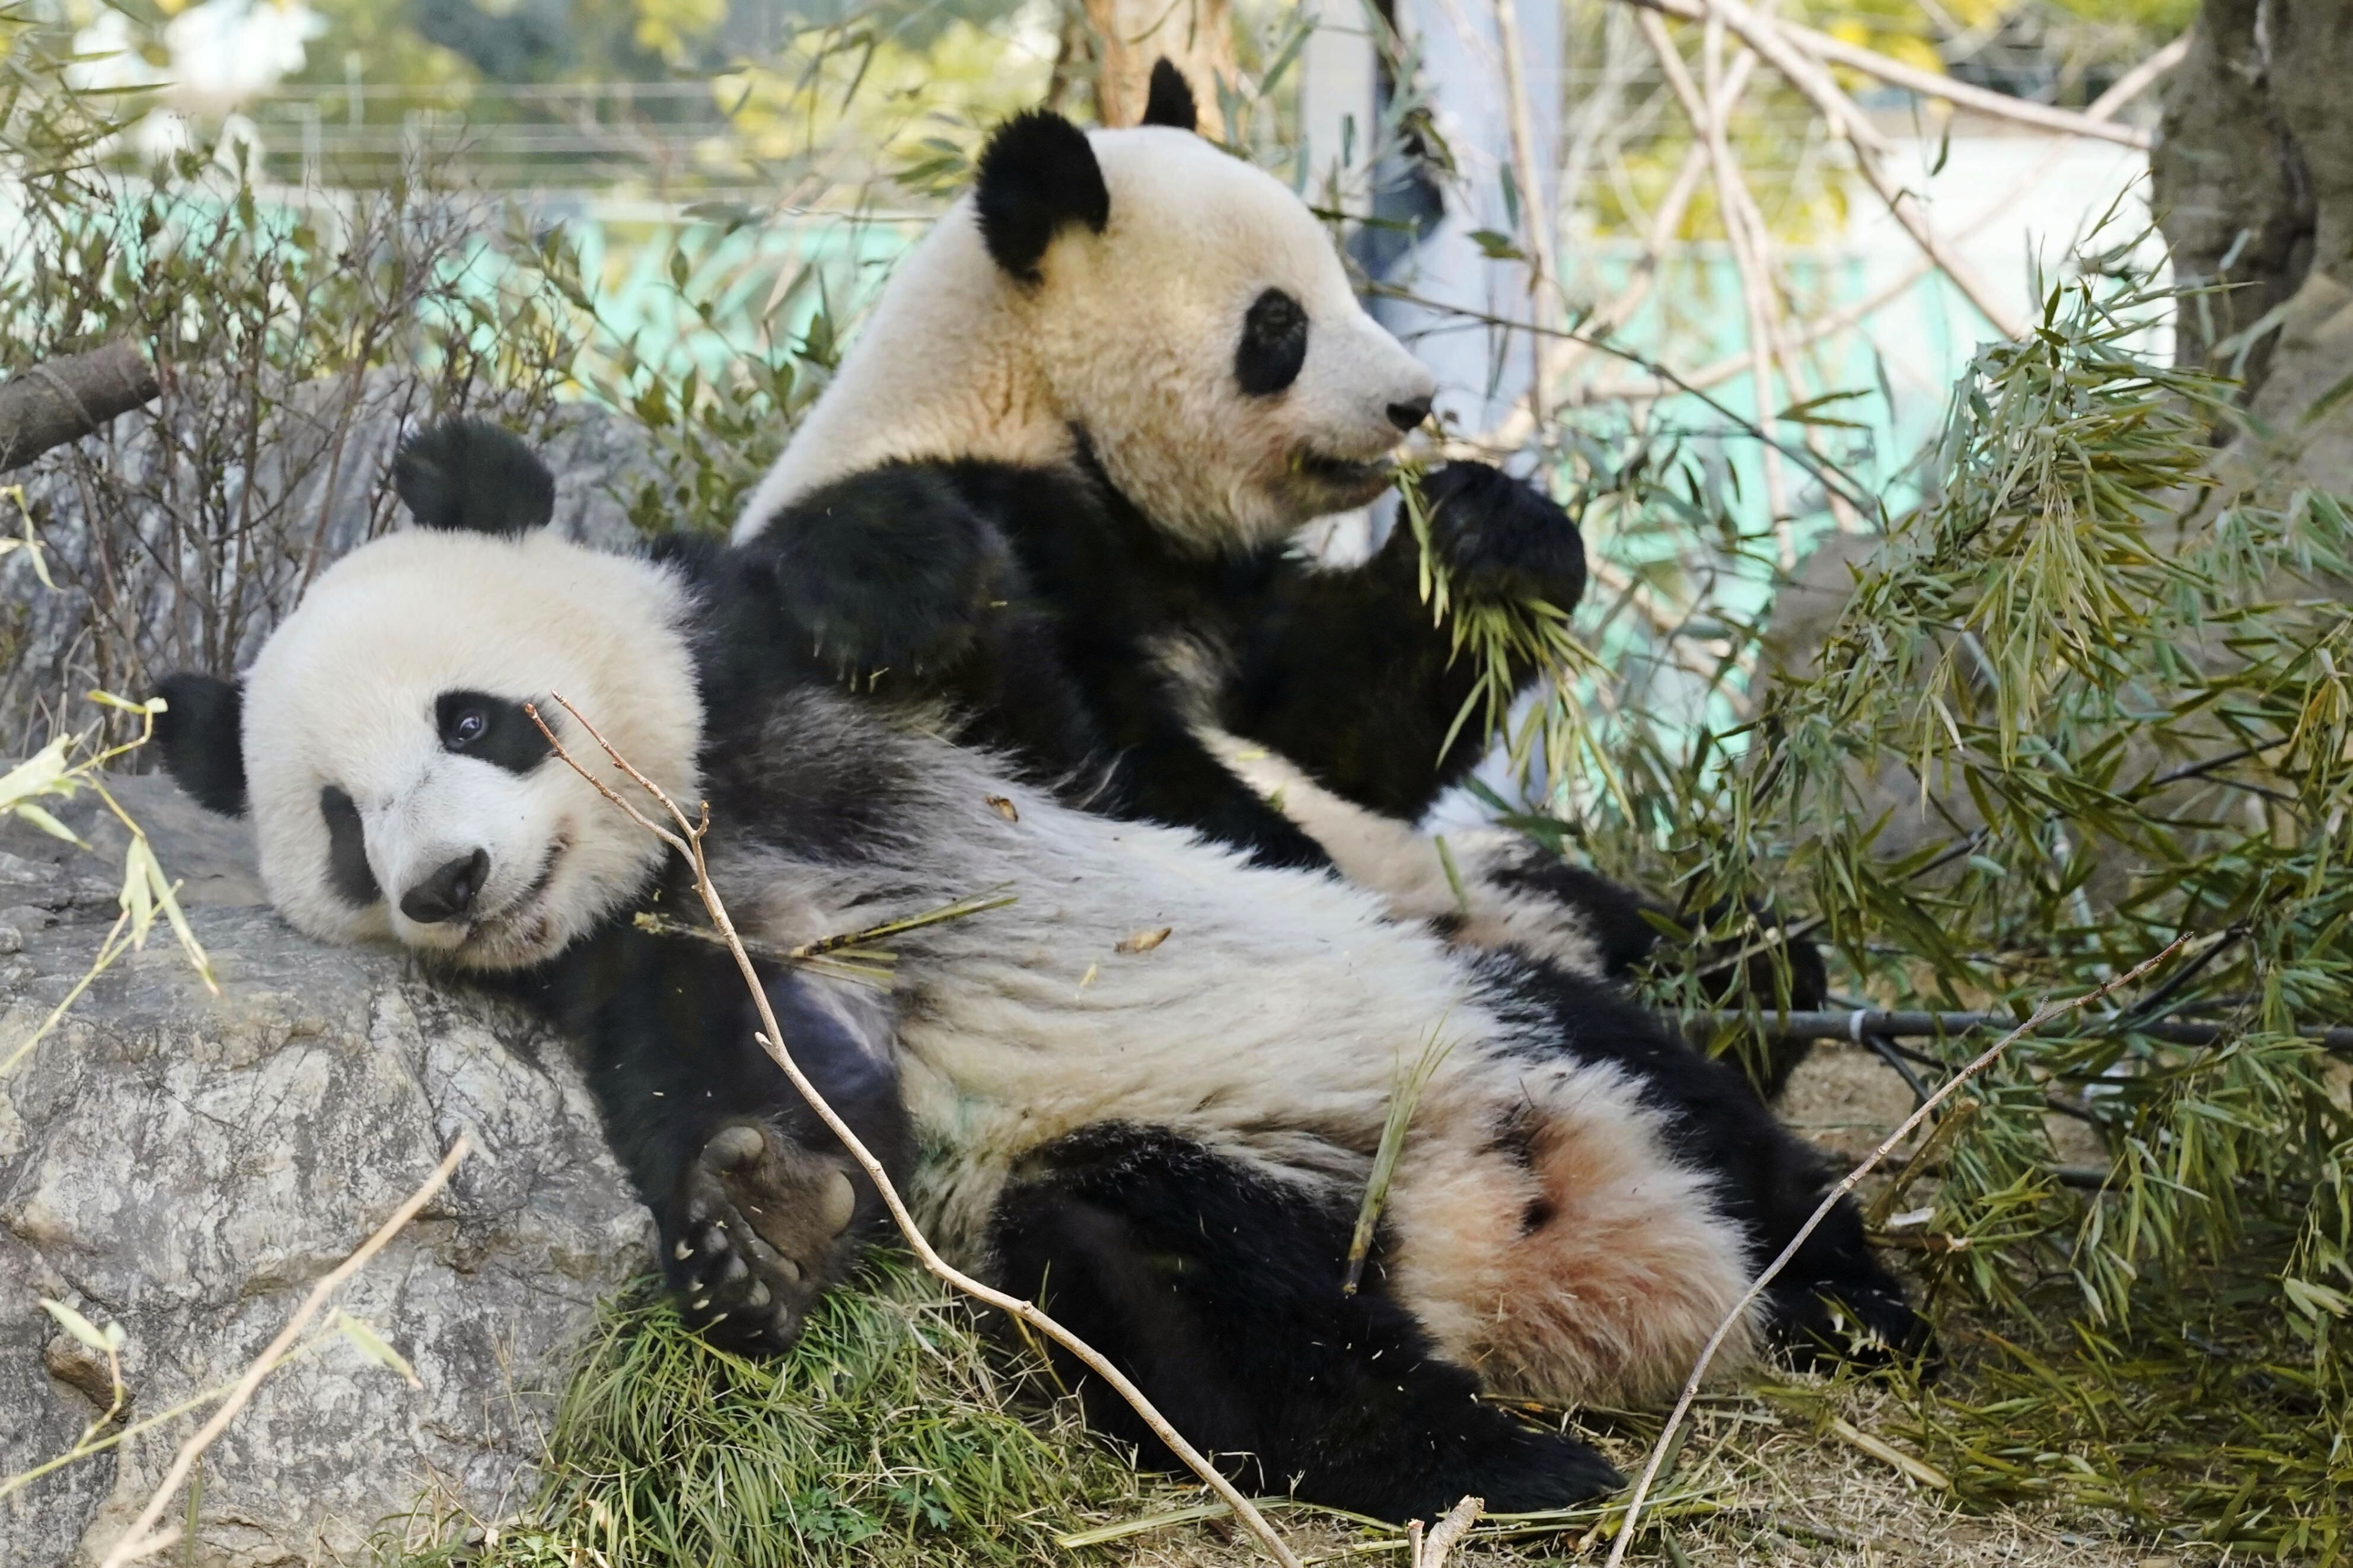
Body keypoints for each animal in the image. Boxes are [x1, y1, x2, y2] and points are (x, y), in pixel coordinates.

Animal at [151, 421, 1917, 1524]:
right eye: (340, 822)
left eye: (472, 717)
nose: (446, 882)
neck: (707, 822)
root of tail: (1515, 1247)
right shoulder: (651, 951)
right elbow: (759, 1073)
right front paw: (756, 1227)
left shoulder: (864, 717)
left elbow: (1096, 735)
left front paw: (878, 561)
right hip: (1198, 1180)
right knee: (1199, 1306)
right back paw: (1496, 1465)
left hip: (1480, 1015)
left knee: (1695, 1105)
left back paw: (1851, 1309)